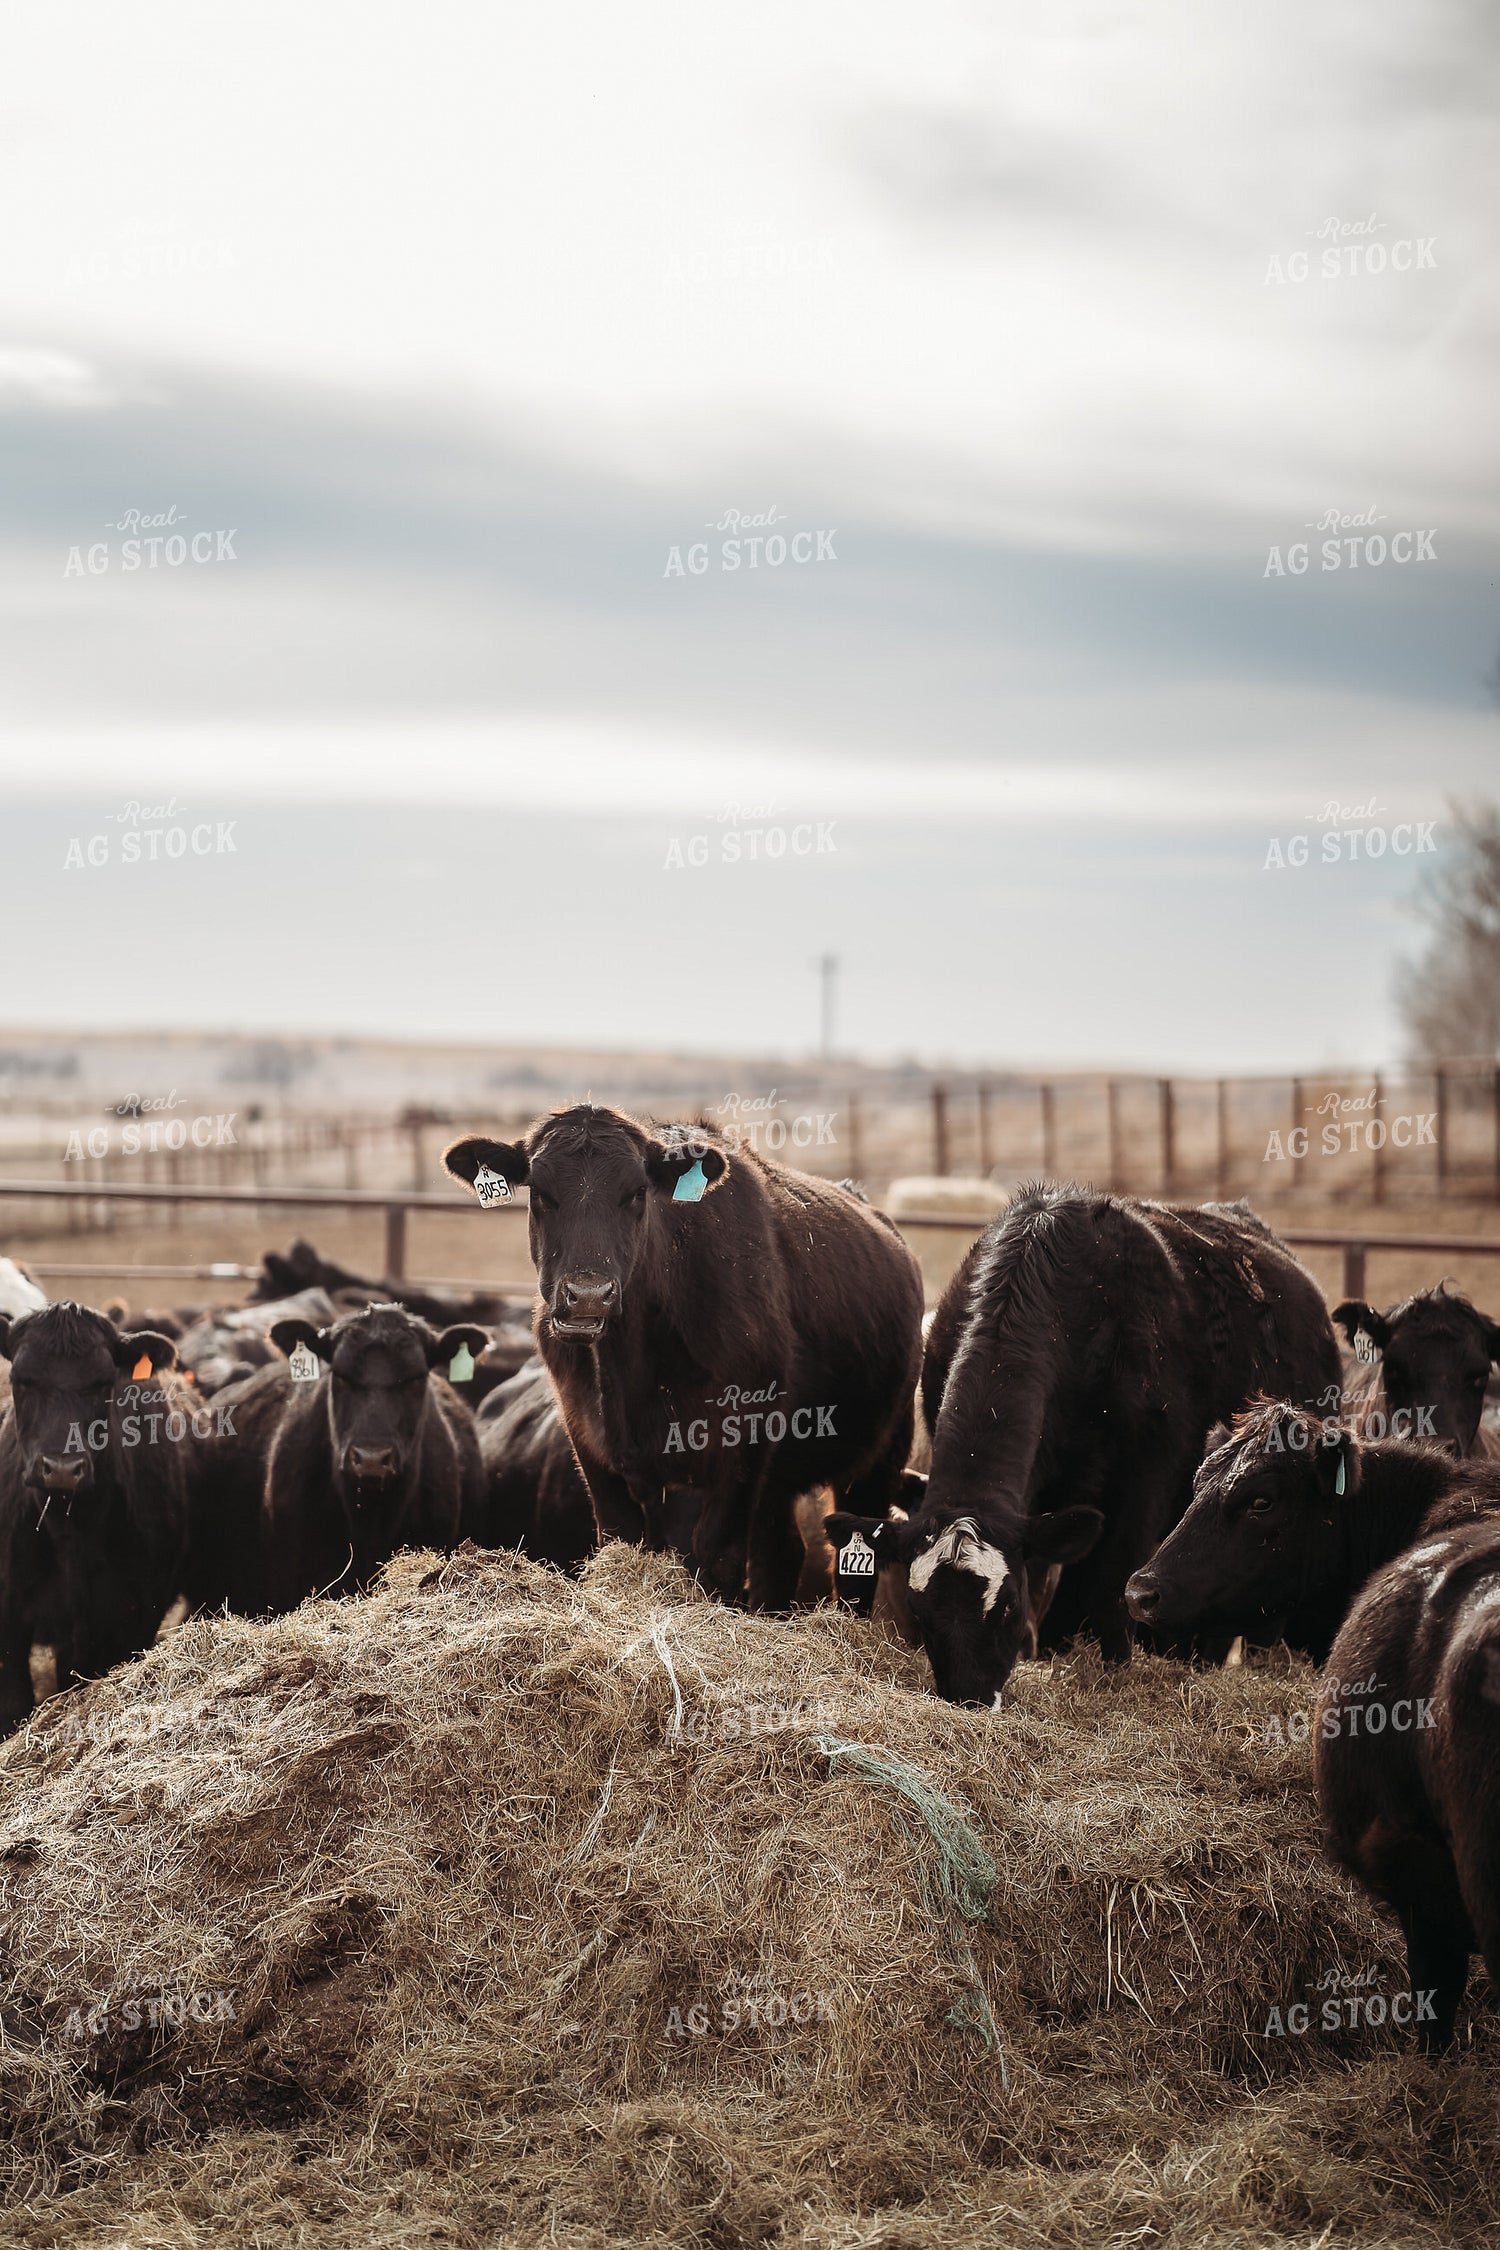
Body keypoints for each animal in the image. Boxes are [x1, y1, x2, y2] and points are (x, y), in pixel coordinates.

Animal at [0, 1303, 187, 1734]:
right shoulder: (9, 1619)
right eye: (22, 1380)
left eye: (103, 1383)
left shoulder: (137, 1617)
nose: (62, 1468)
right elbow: (14, 1706)